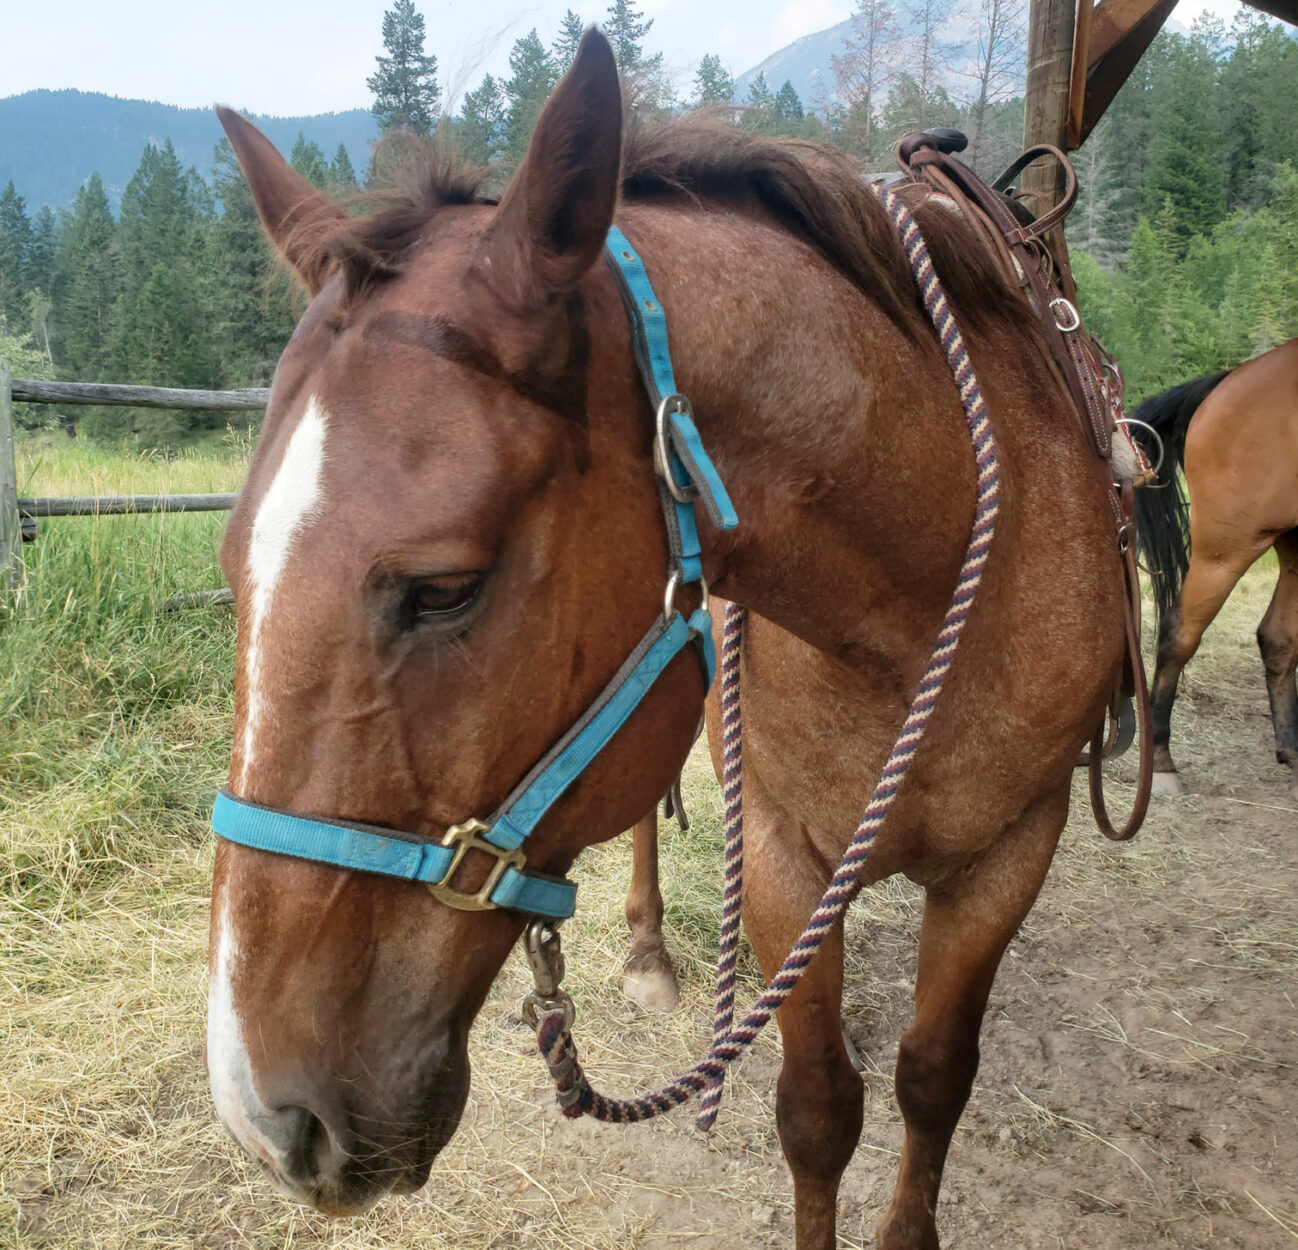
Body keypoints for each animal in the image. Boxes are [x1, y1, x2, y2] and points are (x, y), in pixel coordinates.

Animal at [210, 29, 1126, 1250]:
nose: (268, 1117)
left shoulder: (1011, 852)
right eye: (236, 570)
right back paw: (647, 952)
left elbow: (933, 1077)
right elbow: (817, 1107)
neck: (924, 589)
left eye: (444, 590)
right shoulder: (783, 851)